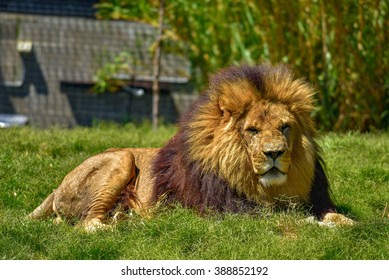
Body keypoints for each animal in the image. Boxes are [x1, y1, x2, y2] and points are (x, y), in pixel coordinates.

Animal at [28, 64, 354, 231]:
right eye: (252, 131)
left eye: (285, 127)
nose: (274, 153)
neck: (270, 188)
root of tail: (57, 187)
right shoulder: (231, 213)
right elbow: (291, 219)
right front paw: (316, 225)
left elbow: (337, 218)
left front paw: (348, 222)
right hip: (121, 159)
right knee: (86, 223)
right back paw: (117, 225)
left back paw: (124, 217)